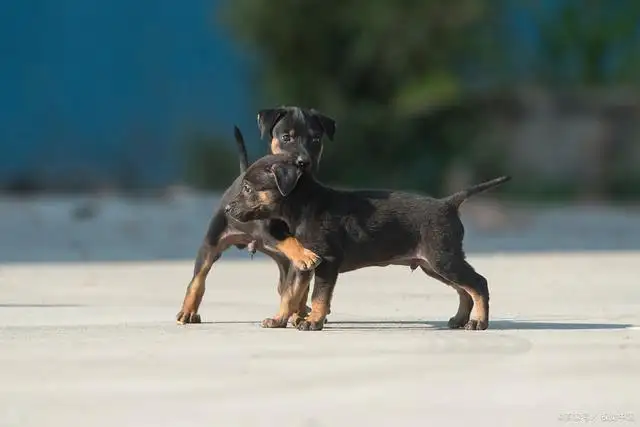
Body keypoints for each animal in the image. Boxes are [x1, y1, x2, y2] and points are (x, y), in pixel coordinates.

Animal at [175, 106, 336, 324]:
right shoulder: (268, 229)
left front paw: (299, 311)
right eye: (286, 137)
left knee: (286, 285)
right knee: (198, 279)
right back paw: (188, 311)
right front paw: (304, 255)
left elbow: (299, 283)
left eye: (316, 139)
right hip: (211, 242)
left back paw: (300, 311)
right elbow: (290, 240)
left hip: (281, 261)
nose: (304, 163)